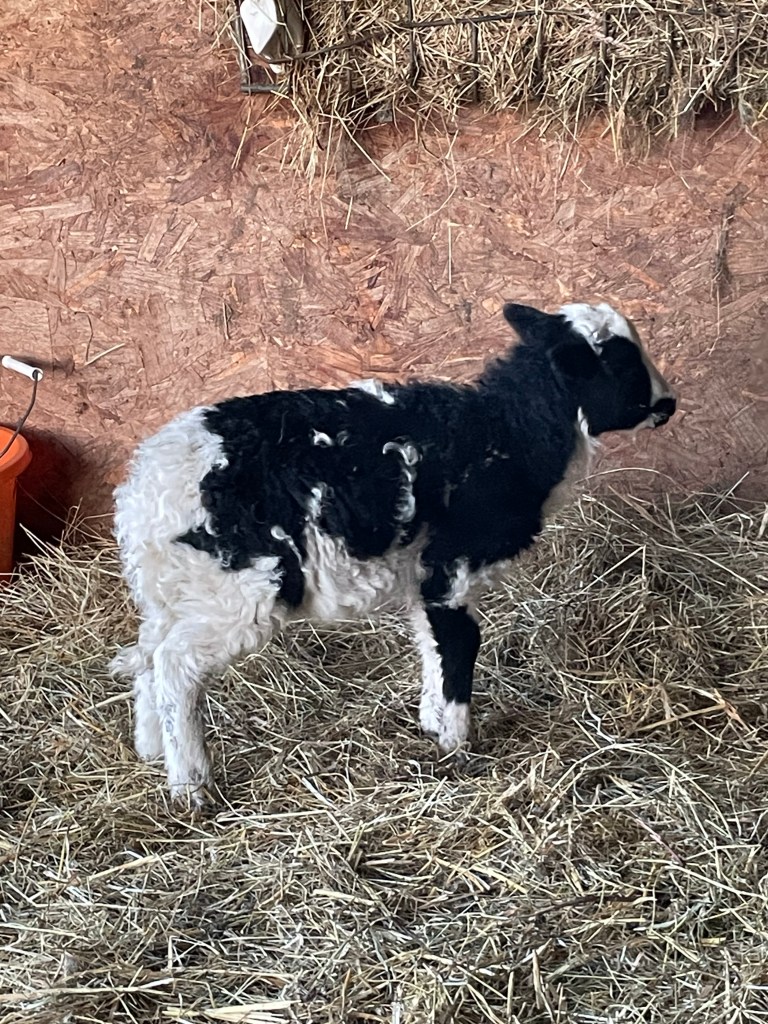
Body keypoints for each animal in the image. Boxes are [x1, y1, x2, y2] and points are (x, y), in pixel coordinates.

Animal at [111, 301, 676, 806]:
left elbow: (430, 643)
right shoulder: (451, 569)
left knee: (147, 657)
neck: (507, 433)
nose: (669, 404)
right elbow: (460, 643)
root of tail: (145, 494)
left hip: (178, 589)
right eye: (622, 365)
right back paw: (191, 786)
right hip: (243, 588)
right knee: (176, 664)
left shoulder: (423, 578)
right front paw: (456, 743)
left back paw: (151, 749)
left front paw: (431, 721)